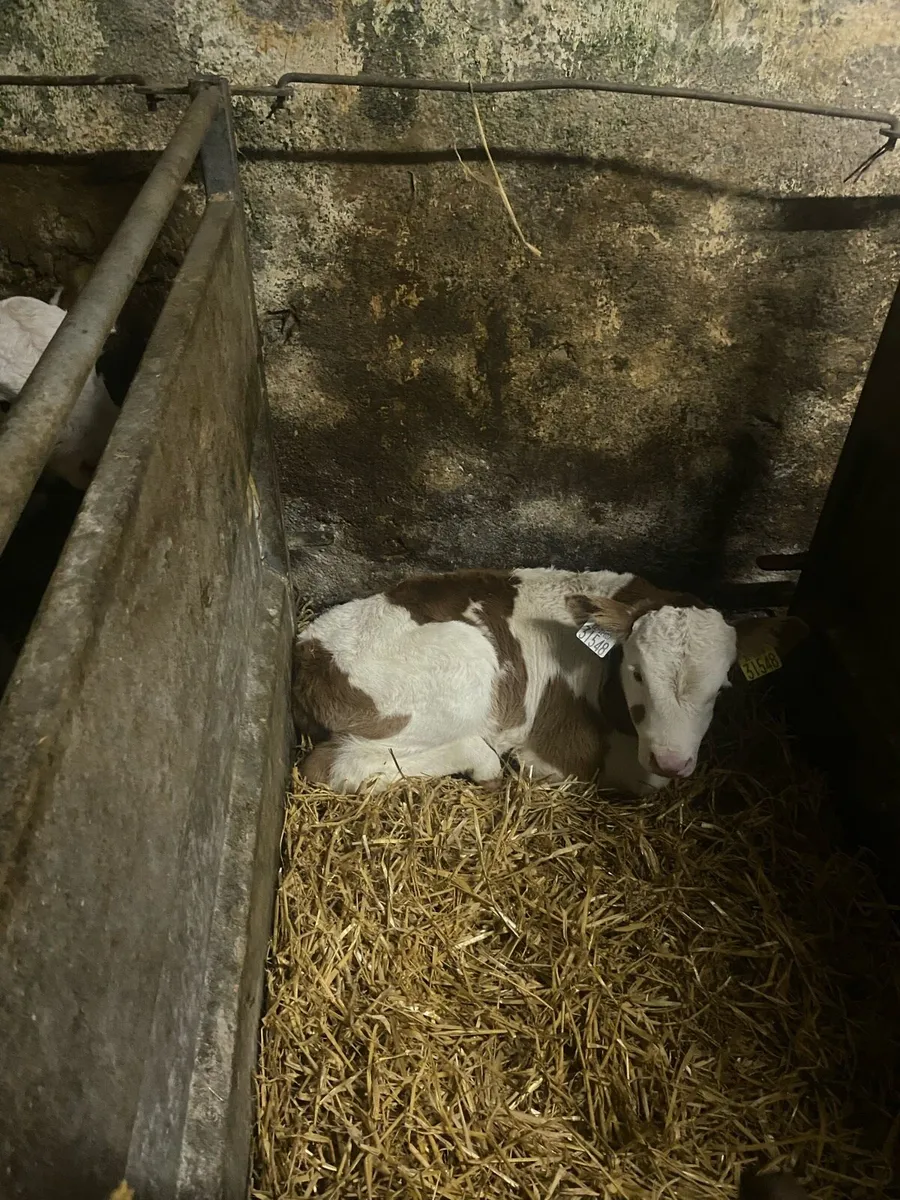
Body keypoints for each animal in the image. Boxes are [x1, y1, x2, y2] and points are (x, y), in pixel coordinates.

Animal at [292, 567, 807, 795]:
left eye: (722, 687)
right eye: (637, 673)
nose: (672, 760)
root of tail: (312, 650)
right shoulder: (564, 744)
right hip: (461, 668)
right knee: (333, 764)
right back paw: (484, 760)